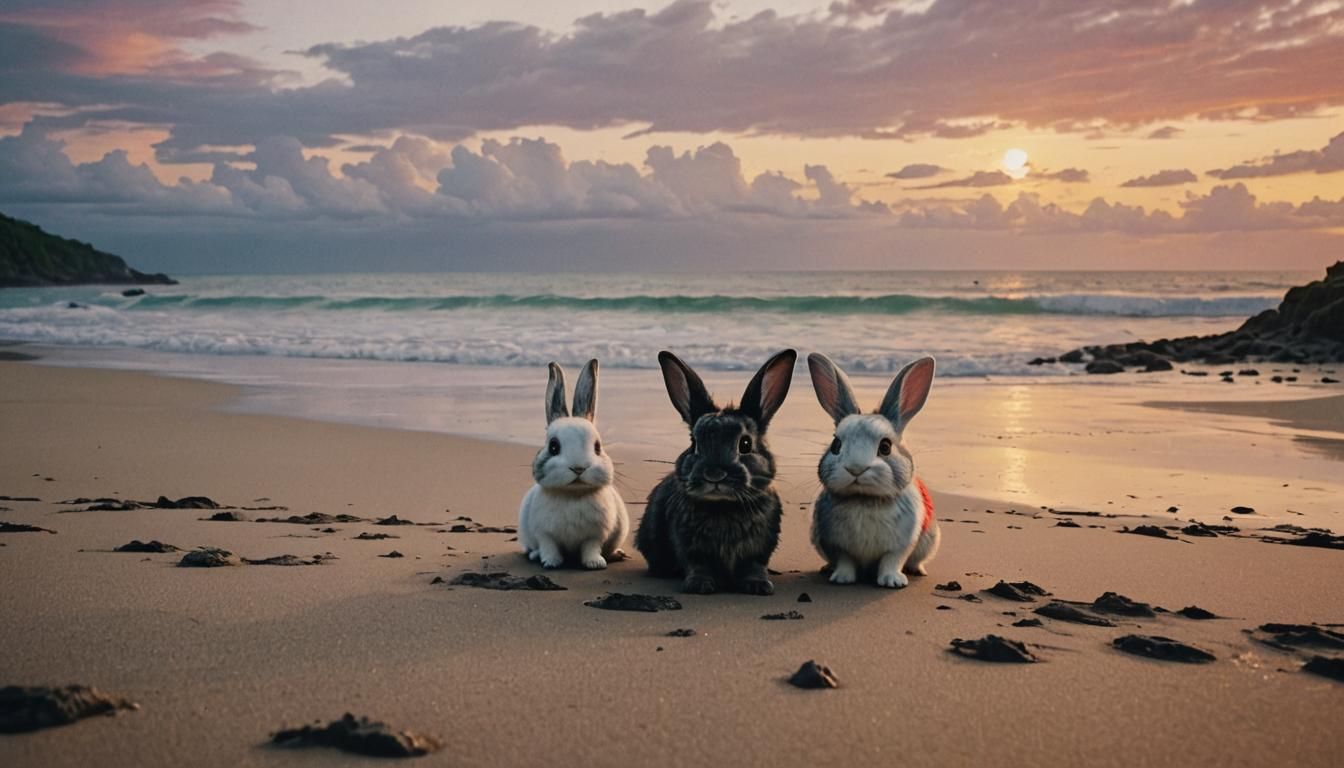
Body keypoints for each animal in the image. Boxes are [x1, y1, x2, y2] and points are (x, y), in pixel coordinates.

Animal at [518, 359, 629, 569]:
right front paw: (551, 562)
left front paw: (595, 563)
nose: (578, 468)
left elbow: (590, 549)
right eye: (553, 446)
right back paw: (536, 556)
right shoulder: (545, 535)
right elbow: (549, 547)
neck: (573, 494)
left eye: (597, 446)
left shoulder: (594, 536)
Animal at [635, 349, 797, 595]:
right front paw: (699, 585)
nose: (714, 474)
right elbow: (699, 566)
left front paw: (759, 586)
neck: (724, 505)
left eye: (745, 444)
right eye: (694, 444)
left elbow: (754, 567)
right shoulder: (692, 549)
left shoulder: (758, 551)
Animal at [807, 353, 940, 588]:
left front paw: (892, 581)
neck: (864, 499)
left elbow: (891, 561)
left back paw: (917, 570)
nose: (856, 468)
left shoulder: (899, 546)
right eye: (836, 445)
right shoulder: (839, 546)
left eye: (885, 447)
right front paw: (842, 578)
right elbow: (845, 561)